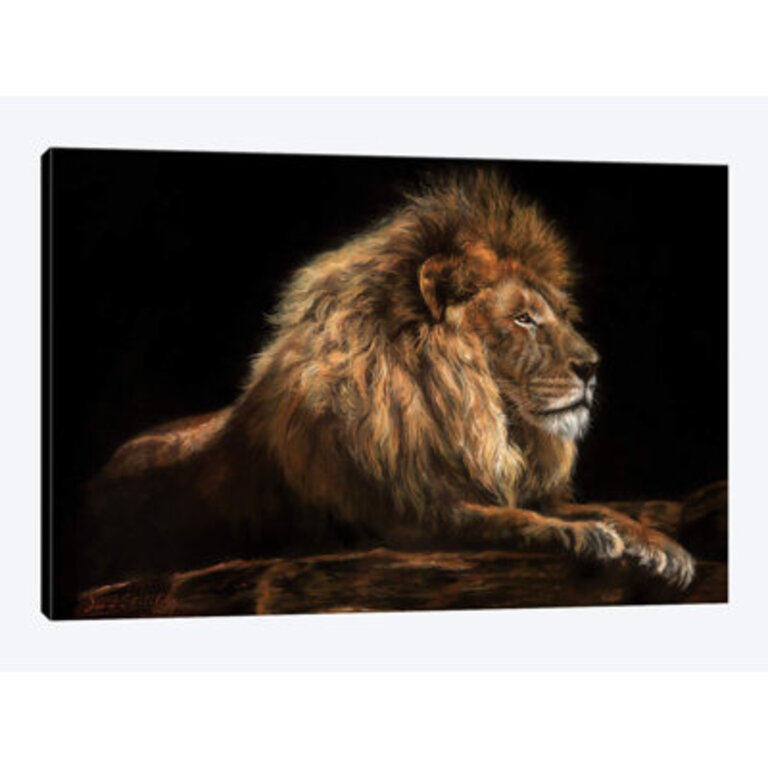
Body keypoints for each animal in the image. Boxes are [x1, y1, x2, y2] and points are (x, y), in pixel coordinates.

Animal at [80, 169, 695, 593]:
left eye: (558, 315)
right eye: (522, 318)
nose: (592, 365)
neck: (471, 420)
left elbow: (597, 507)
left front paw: (661, 546)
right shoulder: (401, 523)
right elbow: (506, 521)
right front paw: (583, 537)